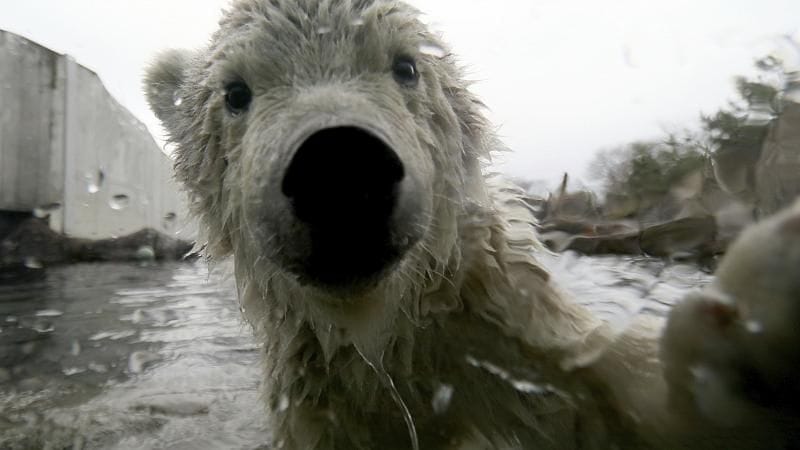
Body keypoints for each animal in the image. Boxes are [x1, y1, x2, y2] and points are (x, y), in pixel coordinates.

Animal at [144, 0, 800, 446]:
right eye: (235, 92)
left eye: (406, 67)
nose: (339, 168)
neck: (384, 333)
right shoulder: (322, 400)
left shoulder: (502, 335)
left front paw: (756, 320)